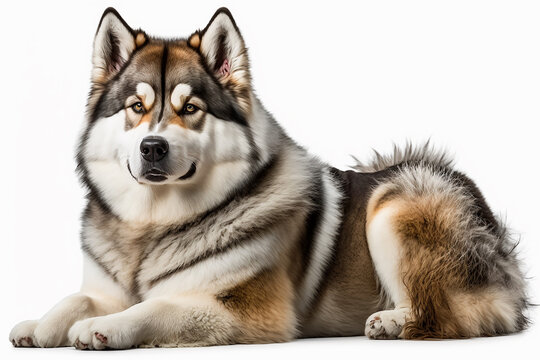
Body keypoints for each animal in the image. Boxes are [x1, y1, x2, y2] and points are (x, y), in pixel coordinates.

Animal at [9, 6, 528, 348]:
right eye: (136, 107)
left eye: (190, 108)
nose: (152, 147)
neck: (153, 225)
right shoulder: (105, 289)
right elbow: (74, 299)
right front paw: (39, 325)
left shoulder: (250, 311)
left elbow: (157, 306)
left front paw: (108, 328)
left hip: (392, 208)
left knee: (448, 315)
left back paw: (396, 323)